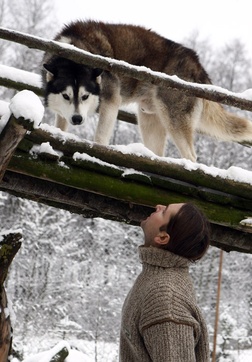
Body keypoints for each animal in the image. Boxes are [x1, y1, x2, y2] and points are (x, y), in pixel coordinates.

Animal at [42, 20, 252, 160]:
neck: (75, 50)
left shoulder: (111, 100)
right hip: (149, 118)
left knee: (191, 157)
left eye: (85, 96)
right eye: (66, 95)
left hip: (174, 120)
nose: (77, 119)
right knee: (158, 153)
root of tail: (197, 63)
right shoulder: (64, 112)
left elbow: (100, 137)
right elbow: (60, 125)